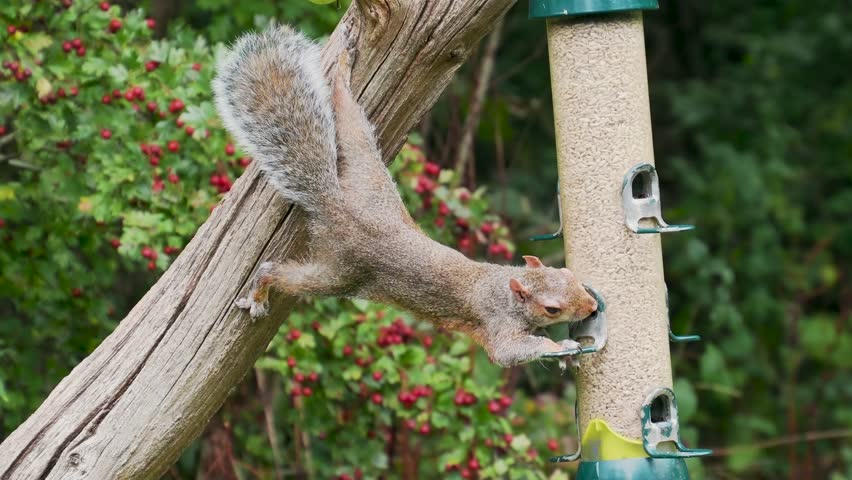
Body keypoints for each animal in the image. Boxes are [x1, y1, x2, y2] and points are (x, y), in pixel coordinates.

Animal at [212, 25, 598, 367]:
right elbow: (508, 354)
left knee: (350, 120)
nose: (593, 307)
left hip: (370, 178)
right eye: (552, 309)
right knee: (275, 271)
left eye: (566, 273)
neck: (503, 288)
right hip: (340, 272)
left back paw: (344, 69)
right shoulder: (496, 324)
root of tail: (337, 206)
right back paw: (259, 293)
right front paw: (562, 346)